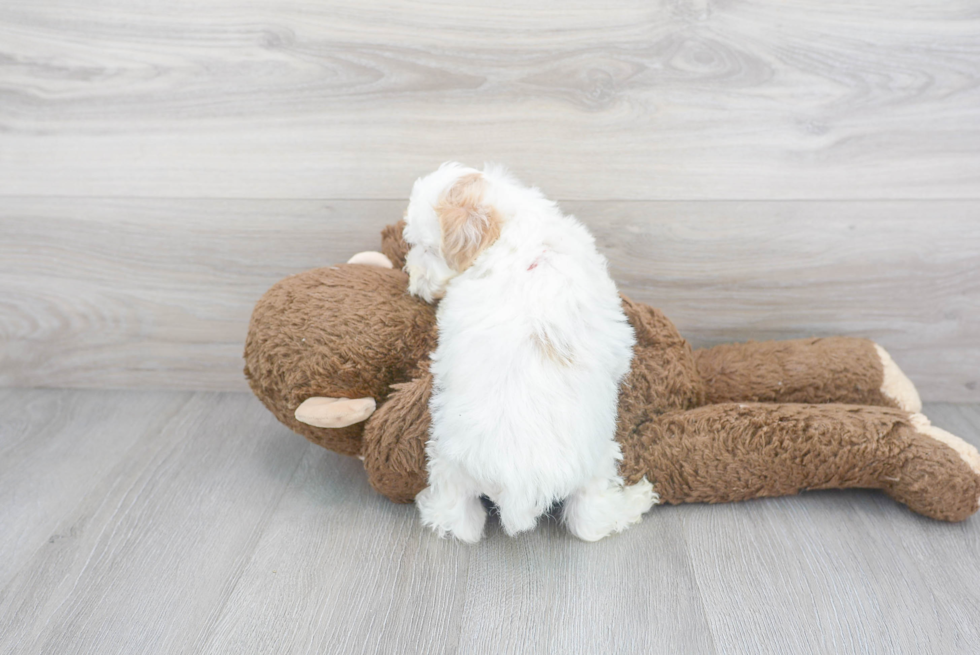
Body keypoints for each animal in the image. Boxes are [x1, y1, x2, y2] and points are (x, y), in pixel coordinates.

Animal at [402, 161, 656, 540]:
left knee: (462, 523)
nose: (412, 280)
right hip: (599, 462)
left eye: (428, 250)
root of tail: (518, 489)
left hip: (448, 464)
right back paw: (639, 498)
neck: (515, 233)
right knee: (591, 520)